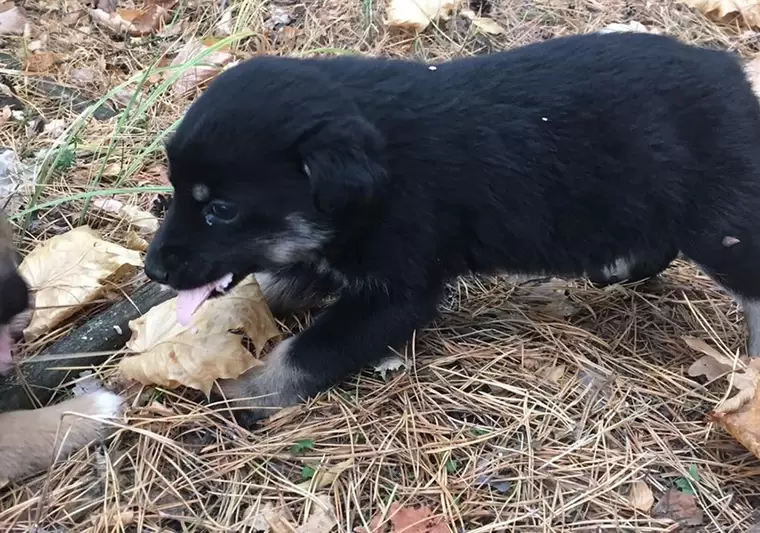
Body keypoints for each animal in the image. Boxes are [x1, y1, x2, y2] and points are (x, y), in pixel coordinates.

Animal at [145, 32, 760, 424]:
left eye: (221, 210)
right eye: (177, 191)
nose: (151, 270)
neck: (381, 174)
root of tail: (731, 71)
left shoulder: (397, 293)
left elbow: (305, 352)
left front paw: (245, 394)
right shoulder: (332, 254)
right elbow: (273, 285)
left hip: (717, 222)